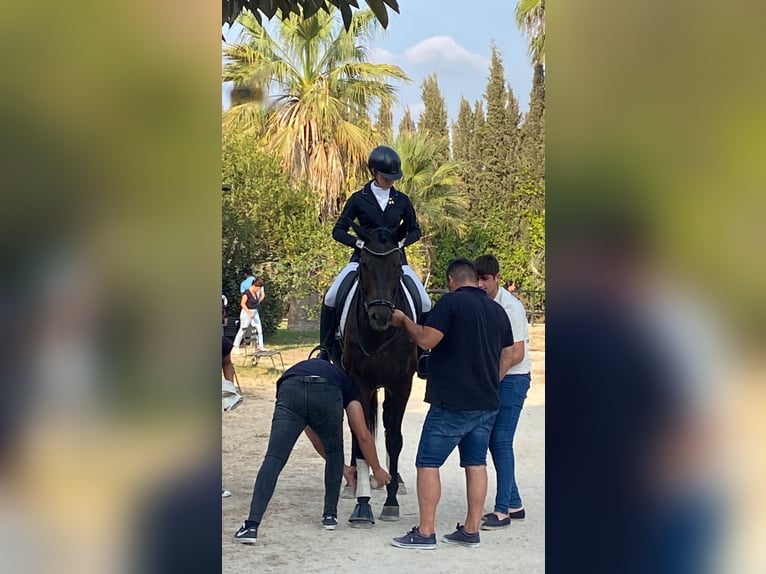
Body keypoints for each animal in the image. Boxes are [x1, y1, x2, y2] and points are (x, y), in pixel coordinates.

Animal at [336, 223, 420, 528]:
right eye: (364, 265)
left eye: (396, 265)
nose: (381, 316)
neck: (380, 336)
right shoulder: (360, 383)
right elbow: (360, 435)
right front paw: (362, 506)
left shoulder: (401, 385)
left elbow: (394, 439)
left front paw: (391, 501)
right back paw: (353, 483)